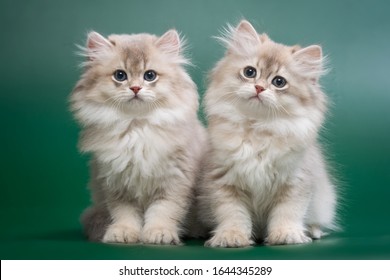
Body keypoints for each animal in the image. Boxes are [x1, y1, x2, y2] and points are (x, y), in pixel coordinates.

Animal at [71, 28, 209, 244]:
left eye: (149, 75)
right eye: (120, 75)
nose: (135, 88)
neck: (137, 128)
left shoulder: (174, 182)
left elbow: (163, 211)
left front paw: (159, 233)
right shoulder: (117, 184)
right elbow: (125, 214)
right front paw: (123, 232)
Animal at [198, 20, 338, 247]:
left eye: (279, 82)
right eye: (250, 72)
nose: (258, 88)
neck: (258, 129)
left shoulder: (295, 182)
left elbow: (288, 214)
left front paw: (286, 235)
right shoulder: (224, 182)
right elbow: (232, 215)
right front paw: (231, 237)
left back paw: (312, 232)